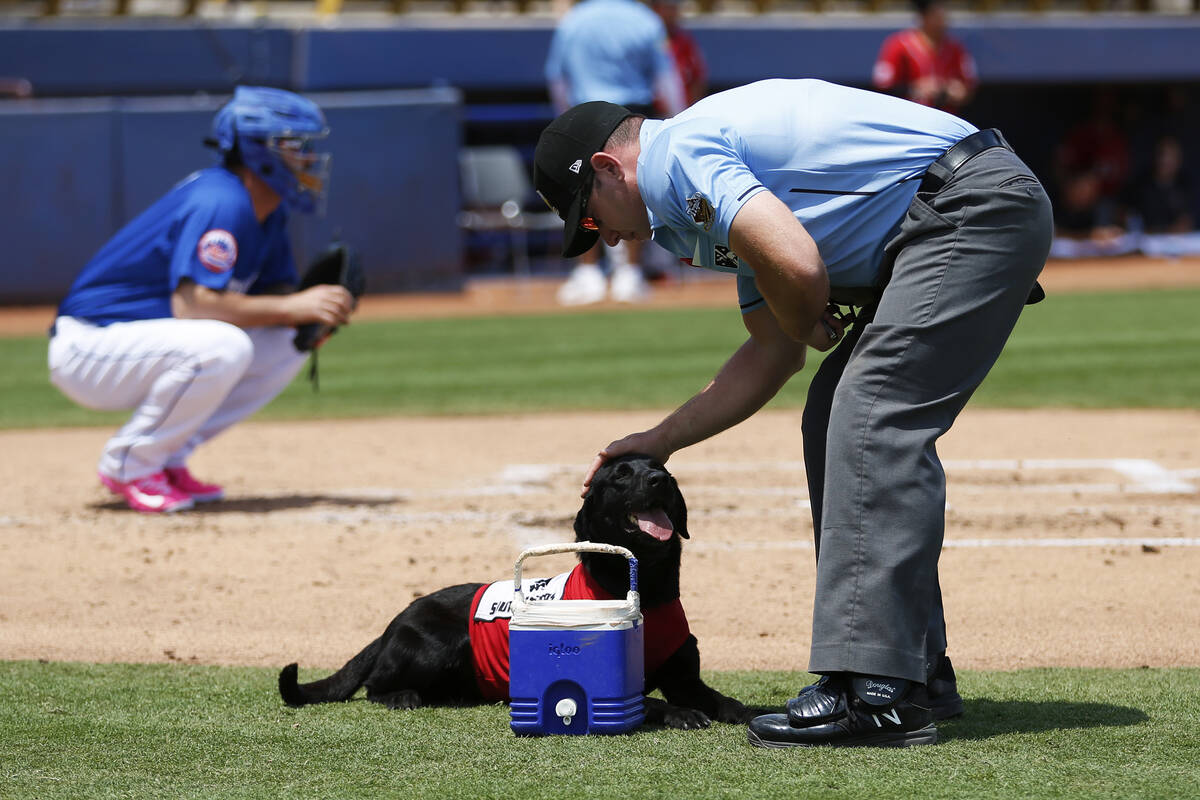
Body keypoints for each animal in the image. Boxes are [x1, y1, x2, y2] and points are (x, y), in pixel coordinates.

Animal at [277, 453, 753, 729]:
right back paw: (401, 697)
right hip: (439, 643)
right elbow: (649, 703)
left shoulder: (686, 678)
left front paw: (744, 711)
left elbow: (720, 698)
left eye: (665, 470)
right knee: (374, 687)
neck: (647, 591)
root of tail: (393, 622)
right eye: (620, 475)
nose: (658, 479)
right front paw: (680, 714)